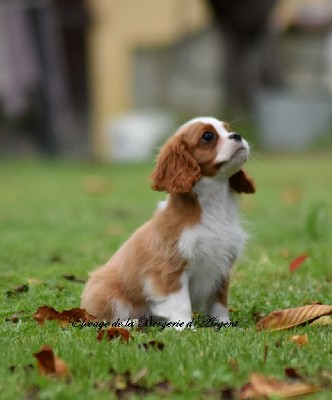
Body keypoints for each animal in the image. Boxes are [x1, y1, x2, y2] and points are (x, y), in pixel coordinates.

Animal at [80, 116, 254, 328]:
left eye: (228, 129)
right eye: (207, 136)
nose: (237, 136)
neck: (213, 203)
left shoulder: (222, 268)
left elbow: (219, 302)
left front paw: (224, 325)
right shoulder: (169, 269)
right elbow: (181, 302)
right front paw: (186, 328)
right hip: (107, 295)